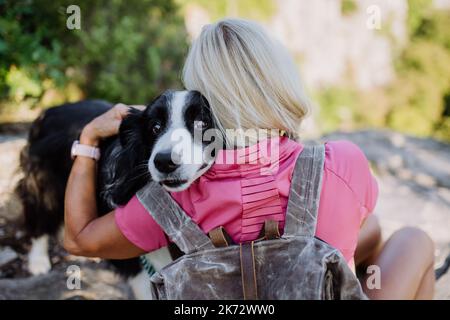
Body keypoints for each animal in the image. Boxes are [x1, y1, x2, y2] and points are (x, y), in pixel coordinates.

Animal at [16, 89, 221, 298]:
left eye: (202, 124)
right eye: (155, 127)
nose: (164, 161)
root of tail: (49, 111)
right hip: (44, 178)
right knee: (41, 212)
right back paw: (38, 262)